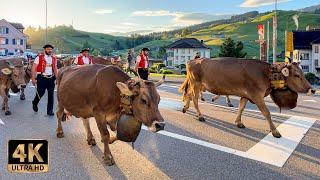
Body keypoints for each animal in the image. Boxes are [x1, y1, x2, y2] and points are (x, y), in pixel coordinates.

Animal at [180, 57, 316, 138]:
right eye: (297, 75)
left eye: (302, 73)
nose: (313, 89)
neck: (267, 74)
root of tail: (192, 60)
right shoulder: (256, 95)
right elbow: (267, 113)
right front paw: (275, 131)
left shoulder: (246, 95)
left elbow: (241, 107)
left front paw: (238, 122)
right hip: (196, 83)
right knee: (194, 98)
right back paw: (200, 115)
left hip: (195, 84)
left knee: (188, 95)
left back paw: (185, 108)